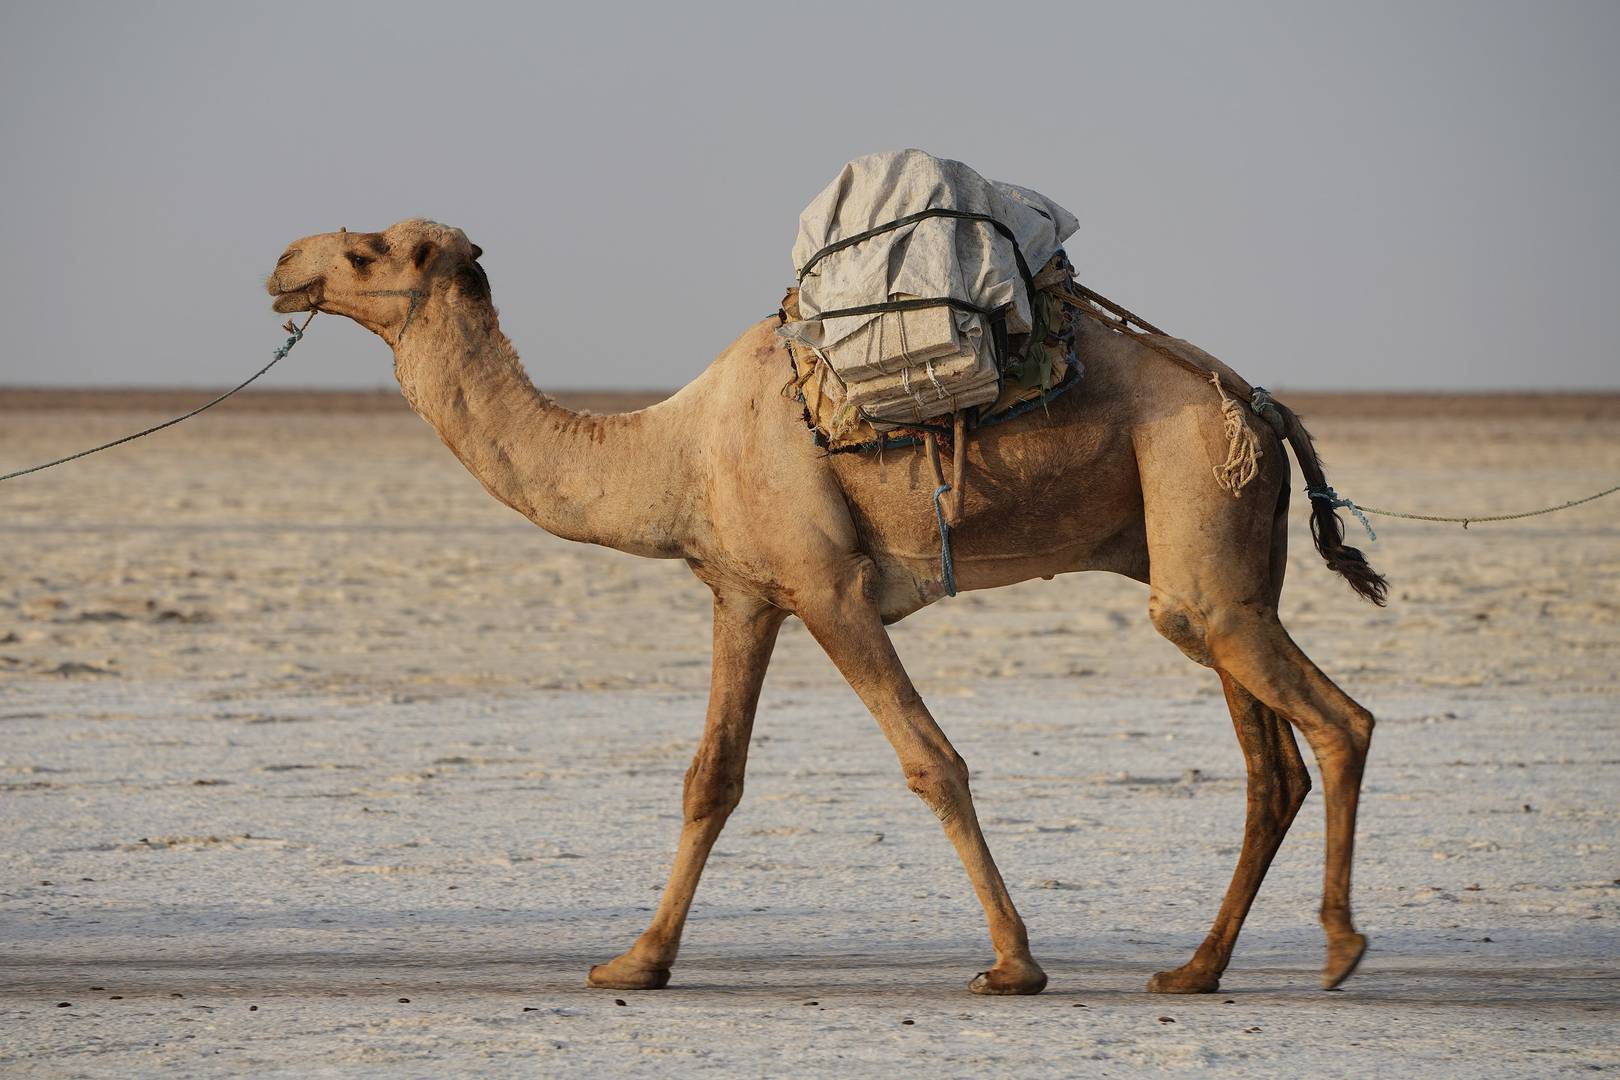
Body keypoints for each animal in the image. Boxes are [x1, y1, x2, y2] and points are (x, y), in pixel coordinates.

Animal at [272, 216, 1386, 997]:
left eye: (366, 251)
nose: (284, 263)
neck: (675, 451)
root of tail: (1263, 404)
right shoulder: (745, 594)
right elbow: (711, 778)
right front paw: (636, 961)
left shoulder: (829, 589)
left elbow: (933, 762)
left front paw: (1013, 964)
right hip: (1213, 555)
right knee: (1267, 761)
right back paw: (1195, 971)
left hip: (1198, 489)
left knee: (1341, 722)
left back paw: (1337, 948)